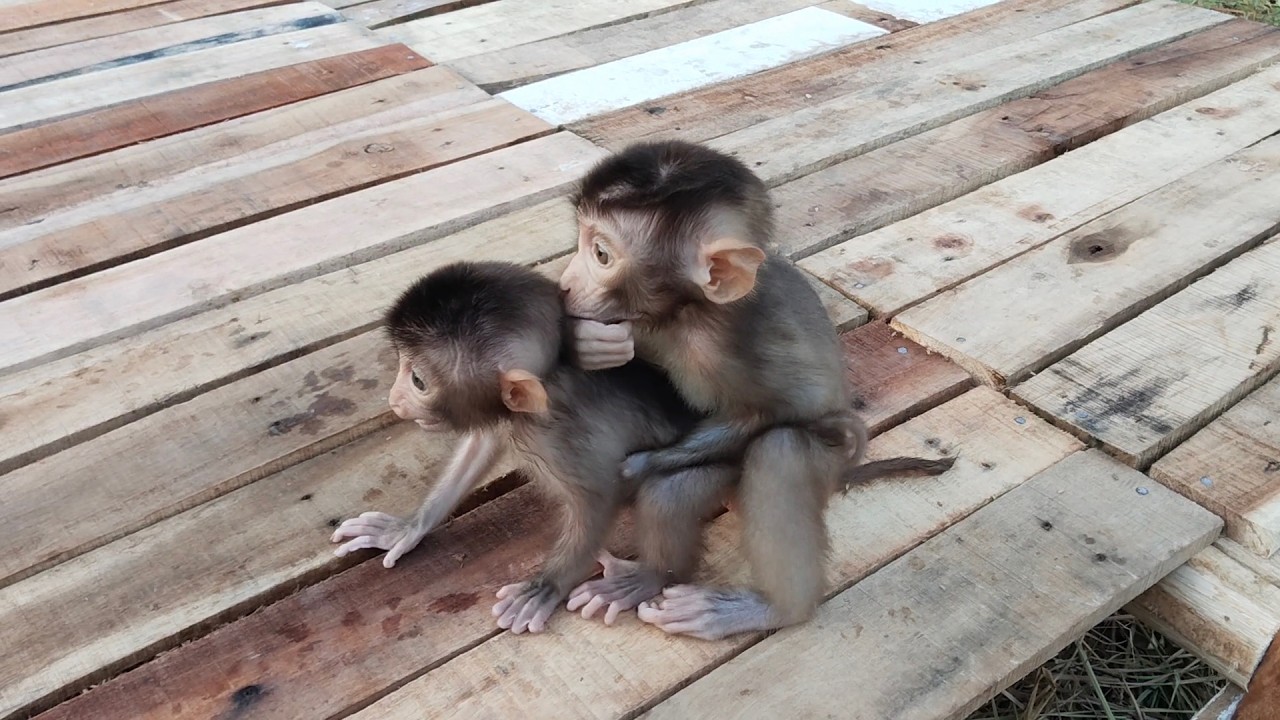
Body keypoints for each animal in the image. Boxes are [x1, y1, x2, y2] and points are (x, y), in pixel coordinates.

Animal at [558, 139, 955, 640]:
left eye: (601, 255)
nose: (565, 283)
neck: (690, 314)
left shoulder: (736, 343)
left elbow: (774, 412)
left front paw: (637, 467)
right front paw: (588, 344)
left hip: (823, 466)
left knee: (779, 450)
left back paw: (771, 608)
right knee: (678, 491)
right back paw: (650, 575)